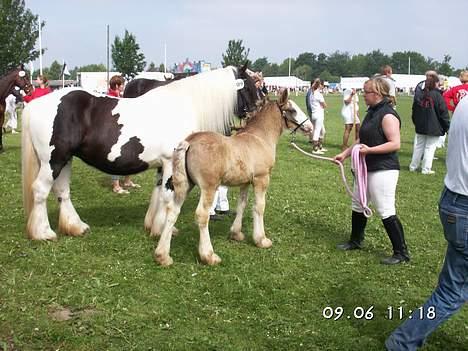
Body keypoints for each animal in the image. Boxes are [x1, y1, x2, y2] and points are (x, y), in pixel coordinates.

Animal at [22, 65, 258, 242]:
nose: (258, 110)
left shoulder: (163, 165)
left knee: (62, 191)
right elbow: (167, 196)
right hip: (53, 161)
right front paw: (163, 230)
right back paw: (43, 233)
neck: (184, 105)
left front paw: (155, 225)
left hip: (65, 160)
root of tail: (35, 105)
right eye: (249, 86)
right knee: (40, 191)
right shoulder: (171, 163)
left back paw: (76, 226)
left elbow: (158, 194)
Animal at [155, 89, 312, 266]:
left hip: (185, 185)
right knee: (202, 215)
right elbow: (259, 207)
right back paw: (208, 255)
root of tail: (189, 142)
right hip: (208, 187)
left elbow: (242, 205)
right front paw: (261, 240)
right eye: (292, 110)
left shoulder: (245, 182)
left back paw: (162, 255)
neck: (260, 138)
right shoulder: (261, 179)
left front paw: (236, 234)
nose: (310, 127)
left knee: (172, 210)